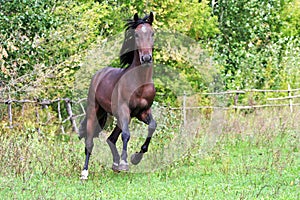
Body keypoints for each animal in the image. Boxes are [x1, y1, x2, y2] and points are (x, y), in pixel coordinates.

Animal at [78, 11, 157, 179]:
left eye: (152, 33)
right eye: (136, 34)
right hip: (94, 112)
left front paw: (135, 158)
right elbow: (126, 135)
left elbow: (152, 126)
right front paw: (124, 163)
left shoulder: (142, 112)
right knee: (89, 142)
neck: (140, 83)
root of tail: (99, 74)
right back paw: (85, 172)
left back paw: (114, 165)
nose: (146, 58)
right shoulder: (124, 110)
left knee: (111, 138)